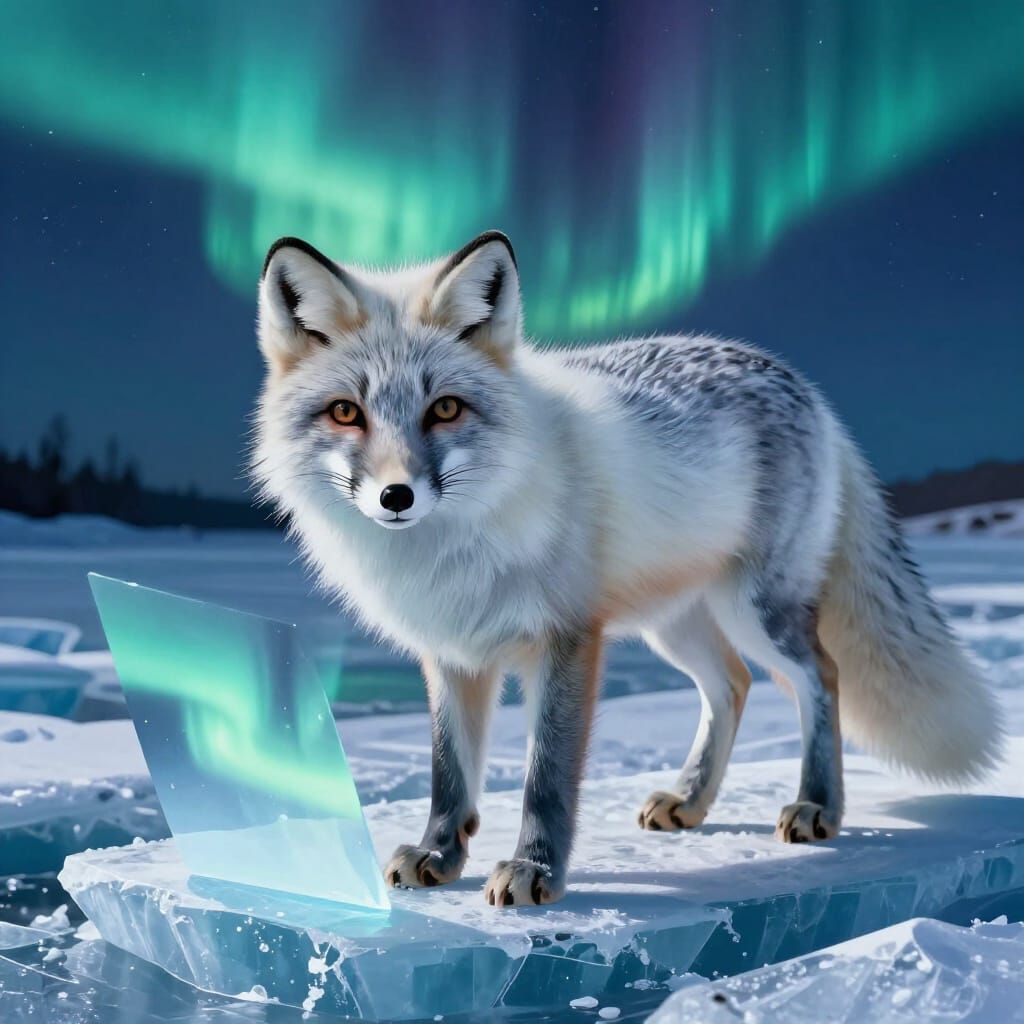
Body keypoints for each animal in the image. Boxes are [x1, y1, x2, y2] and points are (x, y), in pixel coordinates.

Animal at [252, 229, 1003, 907]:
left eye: (445, 409)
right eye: (346, 412)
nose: (396, 496)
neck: (455, 542)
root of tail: (804, 386)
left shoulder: (567, 638)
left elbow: (545, 779)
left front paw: (536, 872)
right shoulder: (453, 652)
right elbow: (449, 773)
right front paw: (440, 854)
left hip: (756, 612)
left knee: (821, 675)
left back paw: (818, 805)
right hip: (674, 627)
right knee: (732, 684)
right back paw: (691, 799)